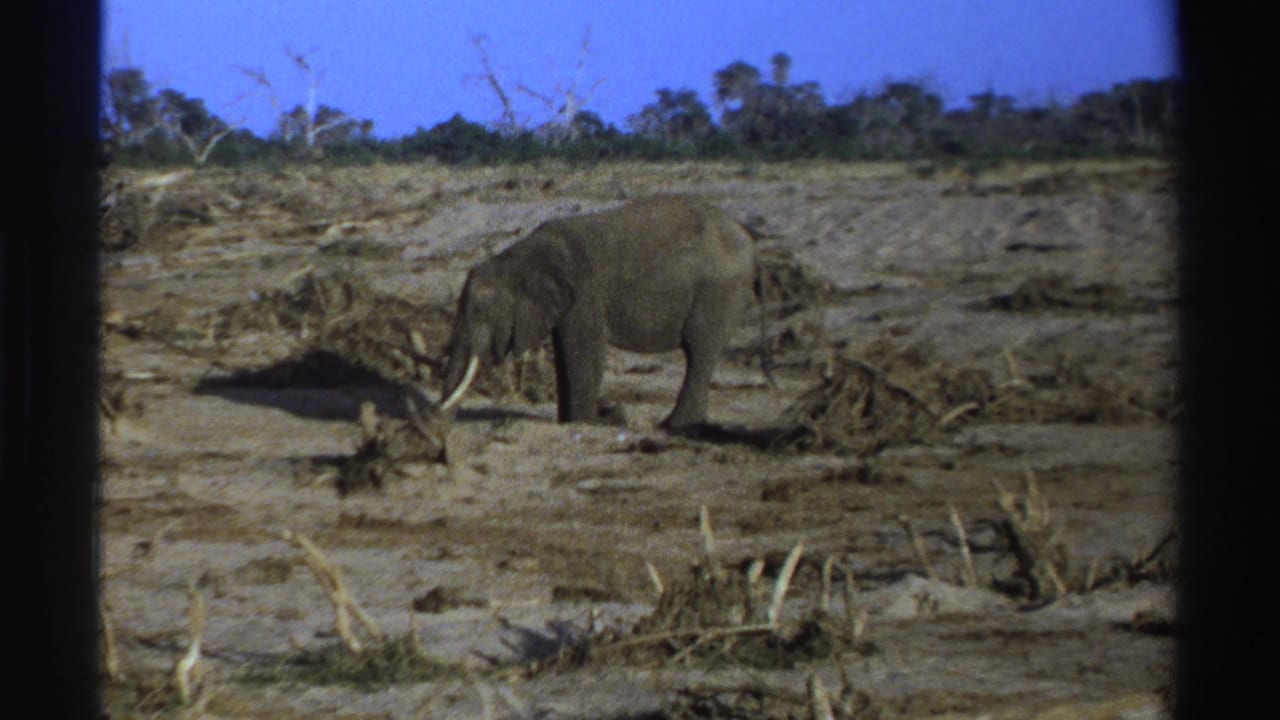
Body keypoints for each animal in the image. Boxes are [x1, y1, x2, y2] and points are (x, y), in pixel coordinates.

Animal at [439, 194, 757, 429]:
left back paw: (673, 426)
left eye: (481, 311)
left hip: (719, 291)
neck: (516, 256)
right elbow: (565, 353)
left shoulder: (585, 292)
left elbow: (584, 351)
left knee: (699, 351)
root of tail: (746, 235)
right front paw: (575, 421)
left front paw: (589, 422)